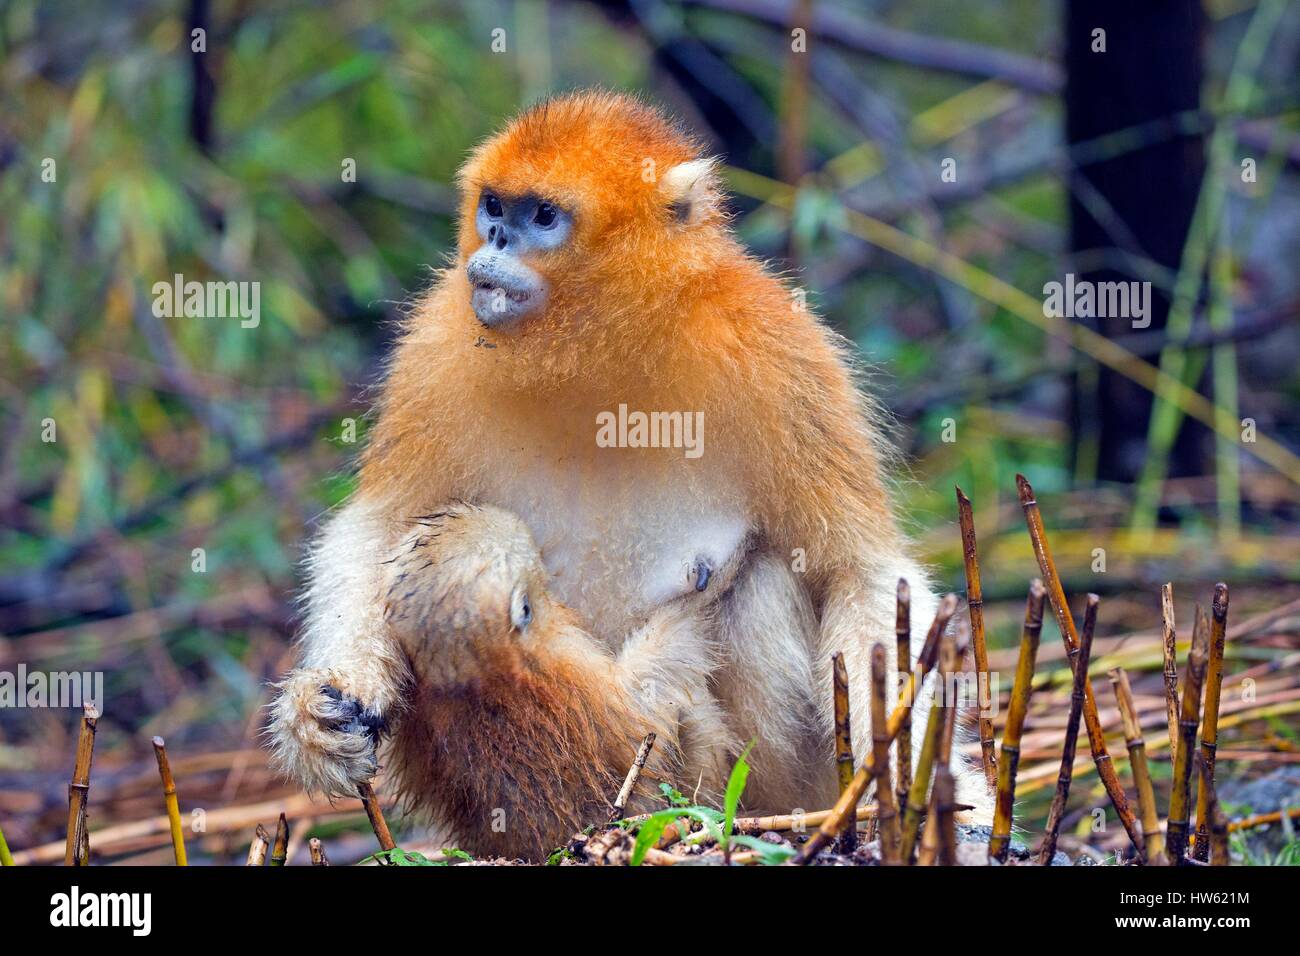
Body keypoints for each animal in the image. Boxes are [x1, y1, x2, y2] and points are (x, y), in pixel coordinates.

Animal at [267, 89, 992, 847]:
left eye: (543, 217)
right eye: (494, 207)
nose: (495, 242)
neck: (599, 352)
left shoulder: (781, 352)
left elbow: (858, 570)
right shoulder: (437, 343)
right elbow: (377, 529)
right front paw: (320, 712)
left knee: (763, 584)